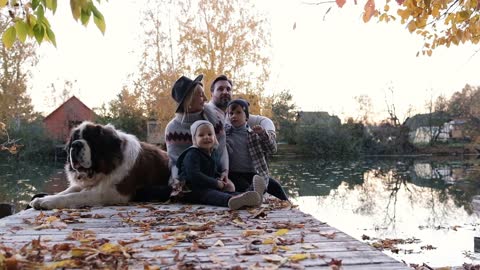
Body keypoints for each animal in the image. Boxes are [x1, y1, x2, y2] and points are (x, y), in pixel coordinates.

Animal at [30, 121, 171, 210]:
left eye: (91, 140)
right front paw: (43, 198)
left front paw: (48, 201)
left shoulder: (112, 193)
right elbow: (68, 191)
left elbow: (75, 195)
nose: (76, 144)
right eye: (74, 139)